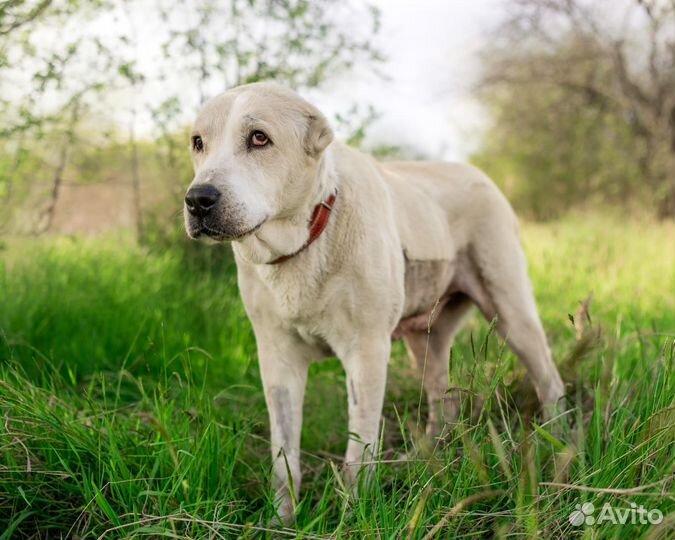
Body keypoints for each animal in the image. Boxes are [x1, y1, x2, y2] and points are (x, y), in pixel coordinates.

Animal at [184, 83, 564, 524]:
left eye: (259, 138)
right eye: (198, 143)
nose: (198, 199)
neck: (307, 238)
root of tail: (478, 174)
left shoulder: (365, 352)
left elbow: (358, 451)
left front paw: (351, 517)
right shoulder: (277, 357)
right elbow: (284, 454)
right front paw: (282, 520)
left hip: (511, 311)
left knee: (549, 381)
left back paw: (559, 447)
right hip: (426, 339)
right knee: (443, 399)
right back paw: (424, 459)